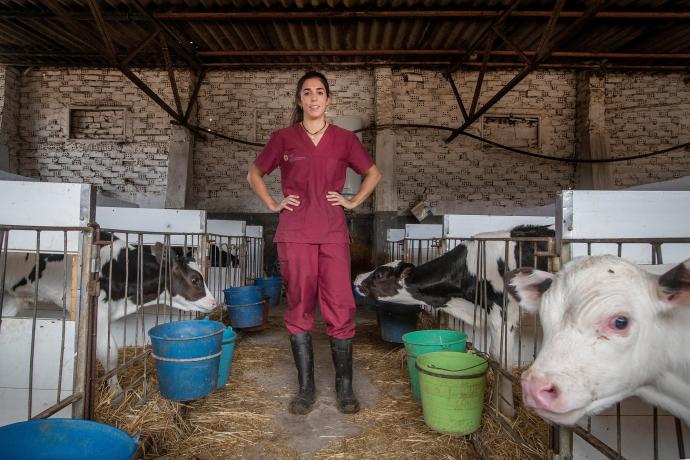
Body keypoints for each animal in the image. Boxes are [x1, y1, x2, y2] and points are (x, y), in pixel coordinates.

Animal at [1, 237, 216, 392]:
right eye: (195, 279)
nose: (214, 303)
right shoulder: (98, 313)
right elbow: (110, 354)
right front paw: (115, 392)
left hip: (9, 298)